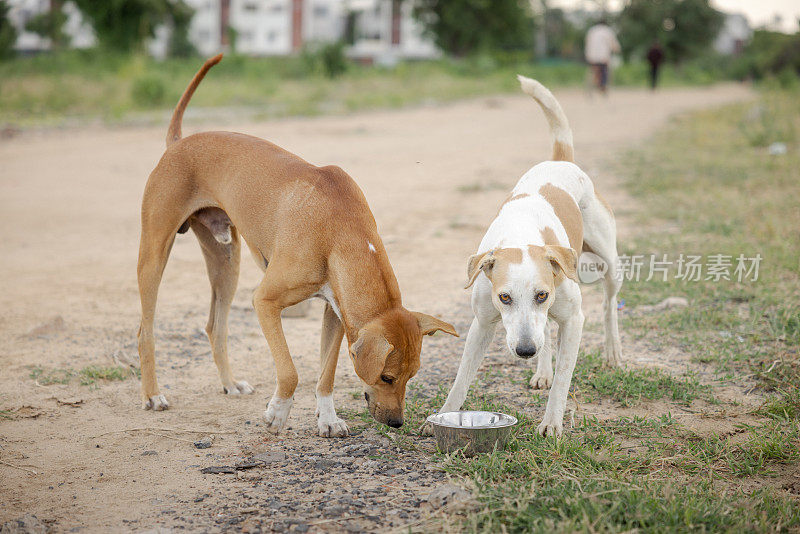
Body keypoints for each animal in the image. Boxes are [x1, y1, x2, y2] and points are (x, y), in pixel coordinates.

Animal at [134, 56, 454, 438]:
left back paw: (229, 383)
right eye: (387, 376)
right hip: (155, 253)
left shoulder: (336, 313)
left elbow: (326, 374)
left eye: (412, 375)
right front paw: (277, 412)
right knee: (145, 330)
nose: (397, 423)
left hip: (226, 260)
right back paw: (152, 395)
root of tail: (178, 143)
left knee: (216, 327)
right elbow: (290, 371)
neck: (341, 229)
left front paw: (328, 419)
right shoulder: (265, 302)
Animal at [434, 77, 620, 438]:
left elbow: (564, 380)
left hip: (610, 264)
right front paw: (442, 415)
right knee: (545, 329)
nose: (525, 351)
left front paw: (552, 423)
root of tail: (560, 160)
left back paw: (612, 352)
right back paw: (543, 370)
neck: (521, 235)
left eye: (542, 294)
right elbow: (462, 378)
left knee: (607, 306)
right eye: (504, 297)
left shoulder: (573, 320)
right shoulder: (482, 324)